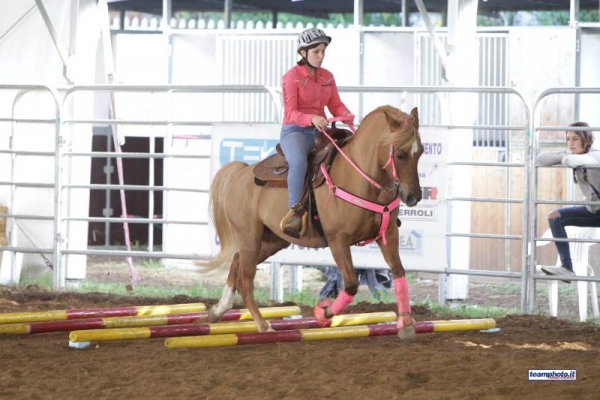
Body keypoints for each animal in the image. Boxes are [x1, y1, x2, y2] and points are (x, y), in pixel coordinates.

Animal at [204, 104, 424, 340]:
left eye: (420, 152)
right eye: (400, 154)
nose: (414, 196)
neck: (359, 178)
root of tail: (240, 173)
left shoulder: (388, 234)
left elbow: (399, 273)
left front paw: (406, 324)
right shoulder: (338, 240)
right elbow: (351, 284)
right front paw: (322, 312)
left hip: (272, 240)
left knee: (236, 261)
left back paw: (218, 310)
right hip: (249, 239)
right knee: (246, 281)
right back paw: (264, 326)